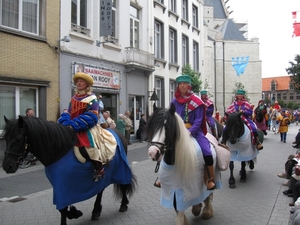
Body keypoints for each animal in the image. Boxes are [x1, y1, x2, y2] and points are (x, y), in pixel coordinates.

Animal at [1, 116, 136, 225]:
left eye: (19, 137)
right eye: (6, 138)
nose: (7, 166)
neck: (59, 151)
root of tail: (118, 132)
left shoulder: (63, 187)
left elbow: (63, 208)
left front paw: (74, 213)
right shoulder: (59, 186)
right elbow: (62, 209)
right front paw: (74, 212)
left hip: (121, 168)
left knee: (124, 185)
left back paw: (123, 205)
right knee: (101, 190)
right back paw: (96, 211)